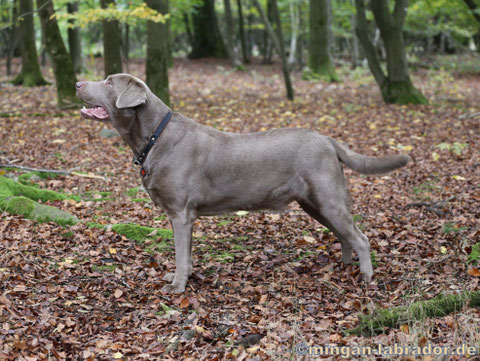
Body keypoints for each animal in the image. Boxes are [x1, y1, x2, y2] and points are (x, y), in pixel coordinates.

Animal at [76, 72, 408, 292]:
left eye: (108, 83)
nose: (78, 83)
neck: (155, 136)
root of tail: (328, 139)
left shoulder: (181, 214)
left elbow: (181, 255)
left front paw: (177, 287)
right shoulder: (184, 217)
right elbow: (187, 255)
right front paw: (180, 278)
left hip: (328, 198)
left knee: (360, 237)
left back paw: (366, 277)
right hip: (315, 203)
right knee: (345, 235)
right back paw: (345, 266)